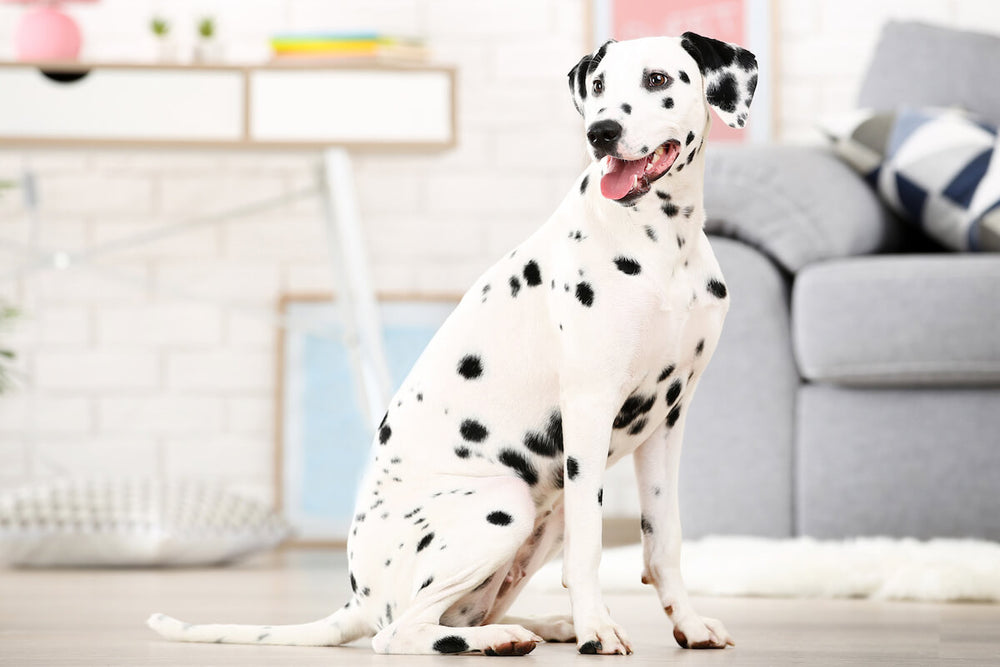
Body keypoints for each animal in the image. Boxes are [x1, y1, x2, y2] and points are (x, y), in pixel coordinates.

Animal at [146, 32, 756, 656]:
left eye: (659, 80)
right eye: (600, 86)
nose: (601, 132)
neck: (665, 245)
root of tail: (358, 598)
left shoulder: (667, 422)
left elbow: (664, 541)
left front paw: (686, 623)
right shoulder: (590, 408)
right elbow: (591, 549)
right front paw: (597, 628)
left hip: (545, 514)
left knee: (459, 616)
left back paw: (539, 626)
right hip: (504, 502)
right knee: (402, 632)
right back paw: (508, 636)